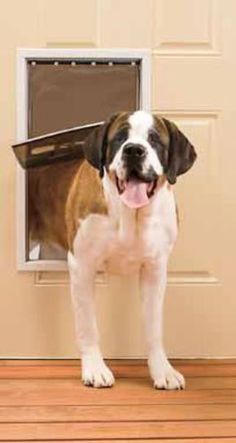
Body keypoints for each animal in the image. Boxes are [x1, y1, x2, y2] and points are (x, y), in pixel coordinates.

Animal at [29, 111, 196, 392]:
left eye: (154, 140)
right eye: (119, 138)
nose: (134, 150)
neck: (130, 214)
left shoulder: (155, 270)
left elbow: (154, 327)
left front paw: (163, 370)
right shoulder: (82, 266)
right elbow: (88, 325)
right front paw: (95, 368)